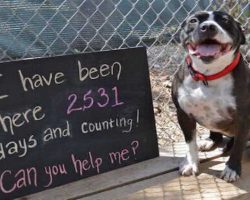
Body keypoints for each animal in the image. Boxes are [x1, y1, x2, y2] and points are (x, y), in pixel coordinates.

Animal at [171, 10, 247, 183]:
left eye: (225, 20)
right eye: (193, 20)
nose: (207, 27)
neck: (208, 75)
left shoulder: (244, 118)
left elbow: (239, 145)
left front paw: (232, 169)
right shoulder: (183, 114)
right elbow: (190, 142)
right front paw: (191, 163)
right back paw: (210, 141)